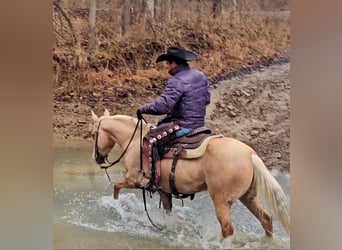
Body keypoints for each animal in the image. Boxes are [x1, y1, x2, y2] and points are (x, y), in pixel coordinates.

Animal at [90, 109, 288, 238]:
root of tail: (250, 154)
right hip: (248, 196)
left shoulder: (134, 180)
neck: (134, 143)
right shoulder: (163, 190)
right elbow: (168, 212)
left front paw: (116, 206)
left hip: (222, 200)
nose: (96, 158)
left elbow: (116, 187)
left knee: (227, 229)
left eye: (93, 134)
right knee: (266, 219)